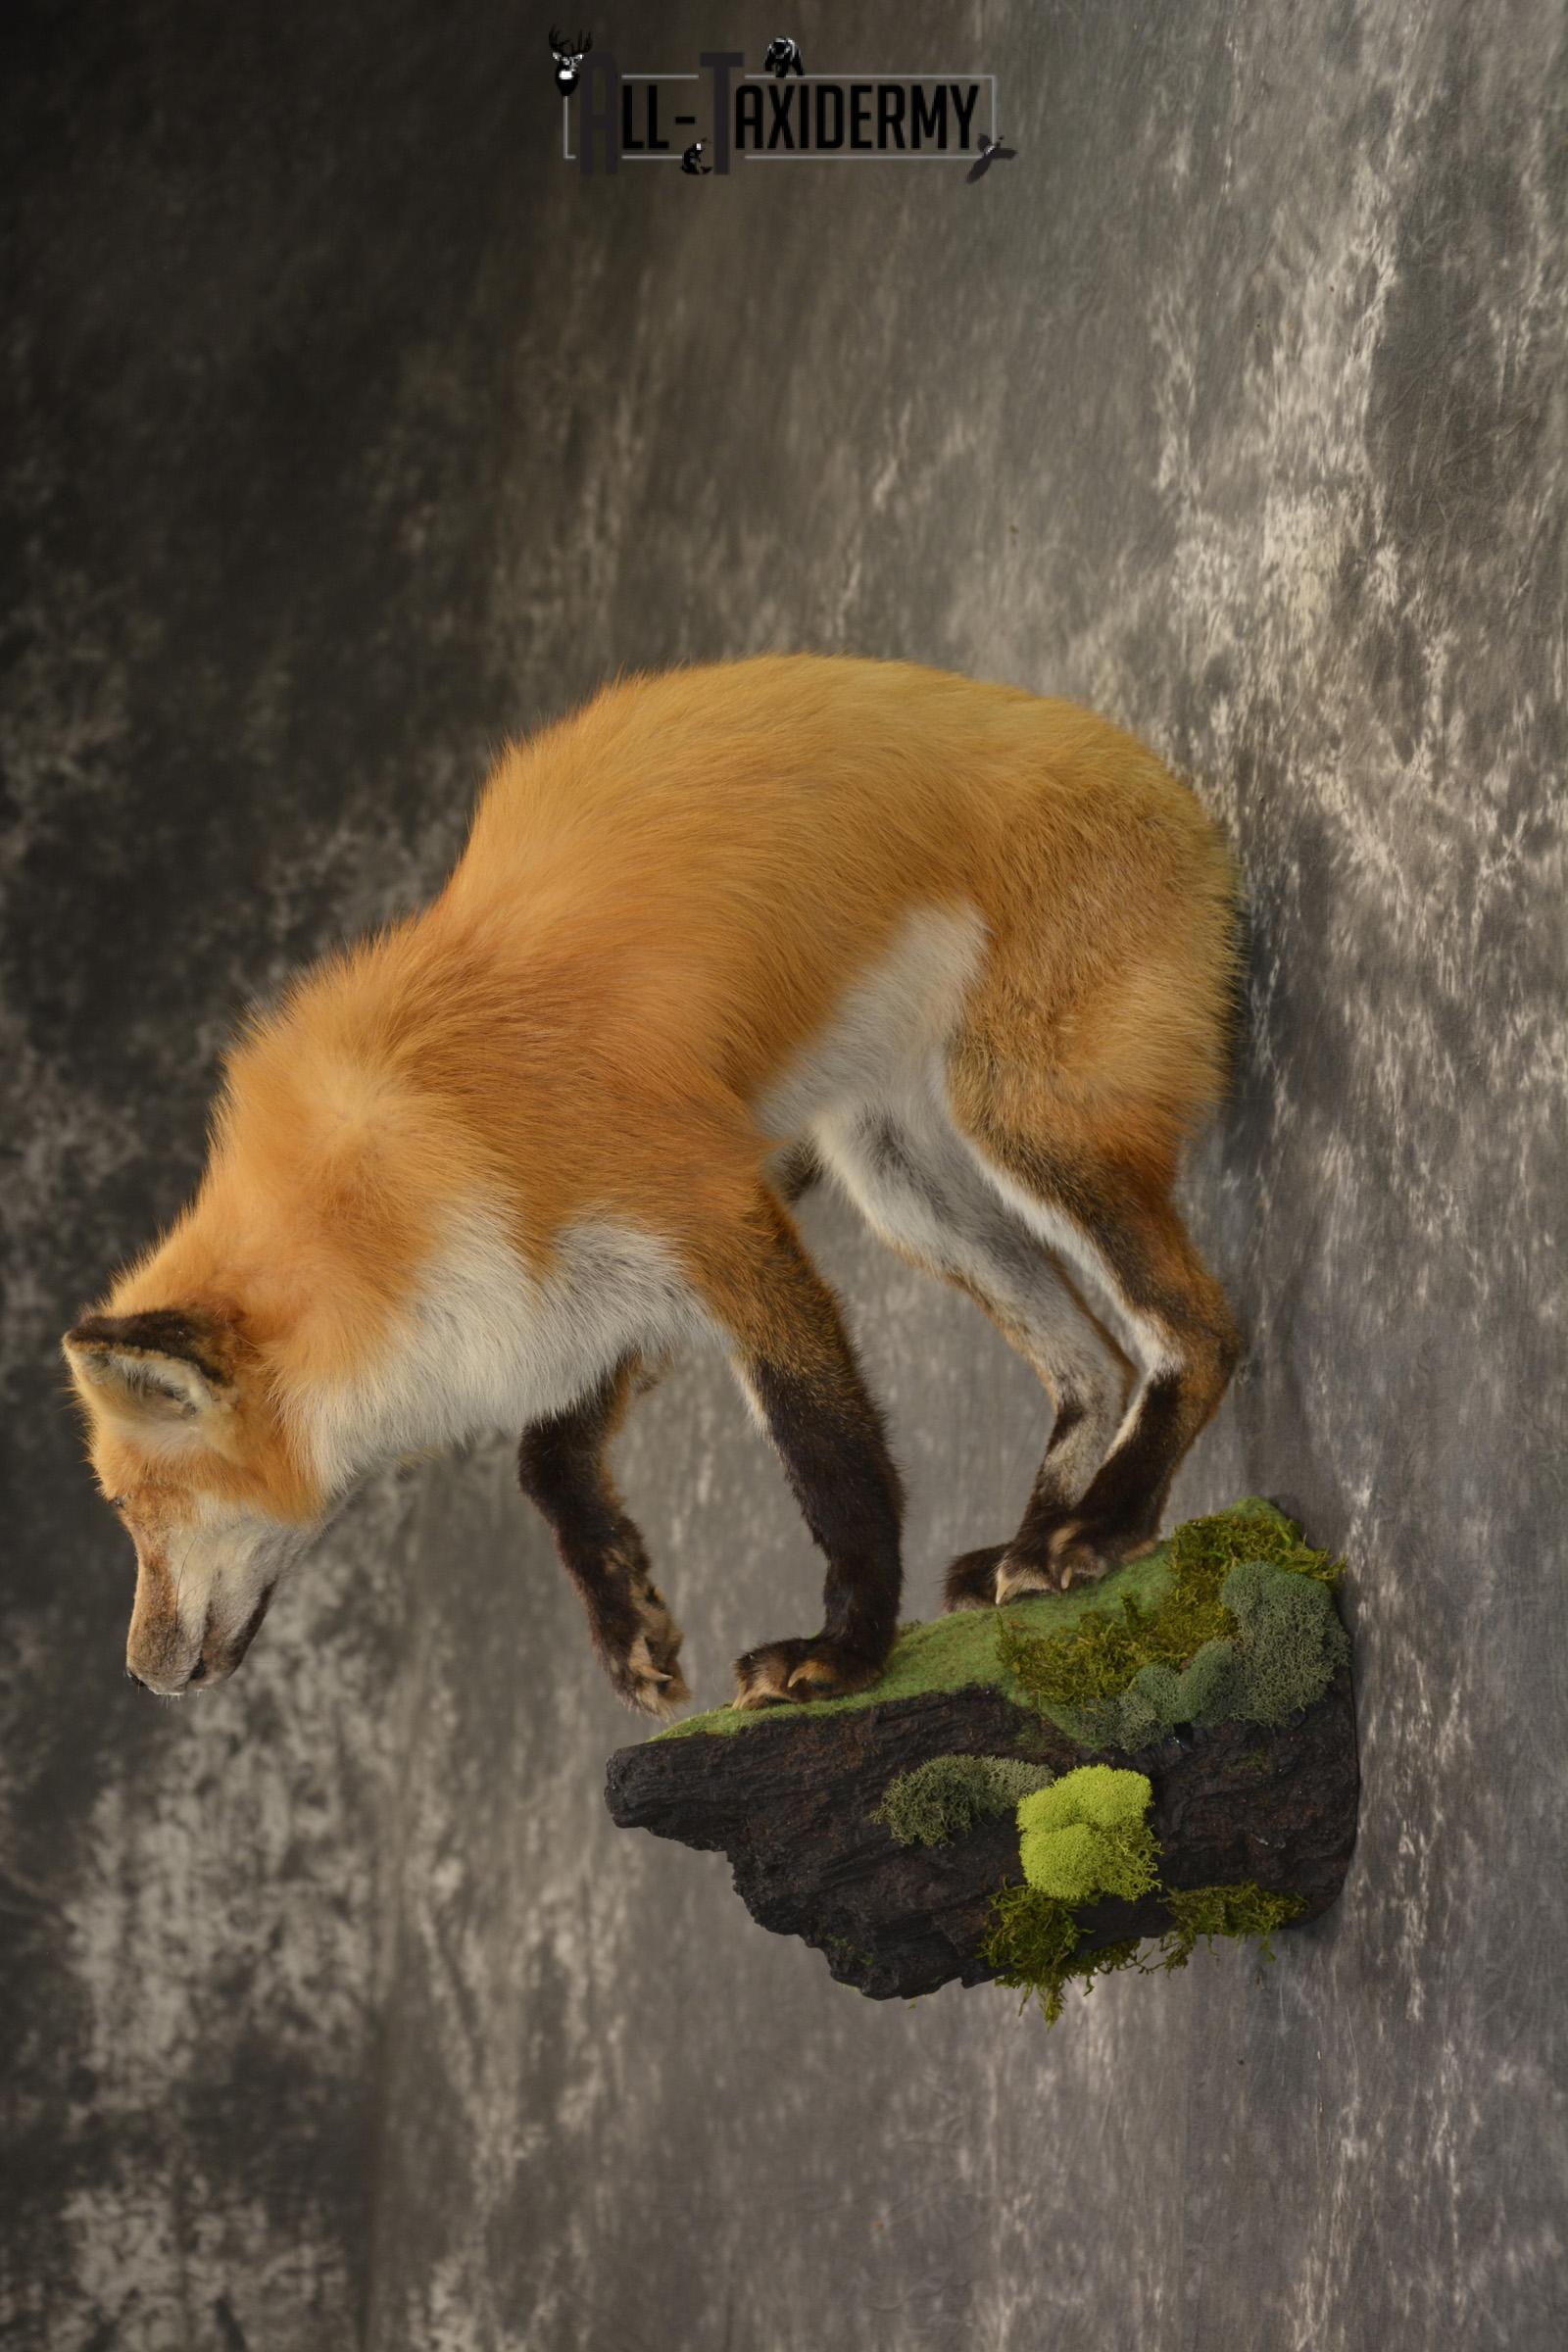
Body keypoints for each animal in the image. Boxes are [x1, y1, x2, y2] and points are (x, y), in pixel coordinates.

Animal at [62, 654, 1242, 1717]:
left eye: (135, 1509)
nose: (139, 1675)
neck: (407, 1176)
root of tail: (1158, 776)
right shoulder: (586, 1274)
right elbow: (547, 1456)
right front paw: (624, 1614)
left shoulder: (716, 1220)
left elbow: (836, 1467)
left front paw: (847, 1649)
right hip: (898, 1181)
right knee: (1090, 1368)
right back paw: (1031, 1543)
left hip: (1020, 1127)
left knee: (1195, 1333)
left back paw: (1104, 1526)